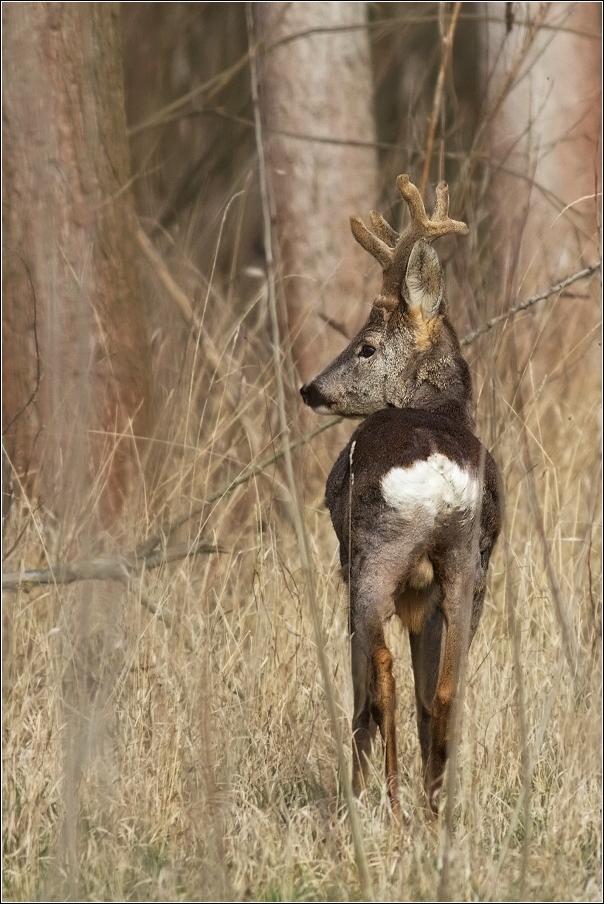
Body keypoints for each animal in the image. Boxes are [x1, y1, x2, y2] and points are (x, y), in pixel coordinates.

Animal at [300, 175, 502, 820]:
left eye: (365, 346)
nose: (311, 389)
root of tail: (436, 471)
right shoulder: (432, 594)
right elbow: (429, 688)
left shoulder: (350, 560)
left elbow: (368, 678)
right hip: (469, 565)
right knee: (448, 686)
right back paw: (436, 807)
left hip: (373, 554)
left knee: (381, 672)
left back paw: (383, 796)